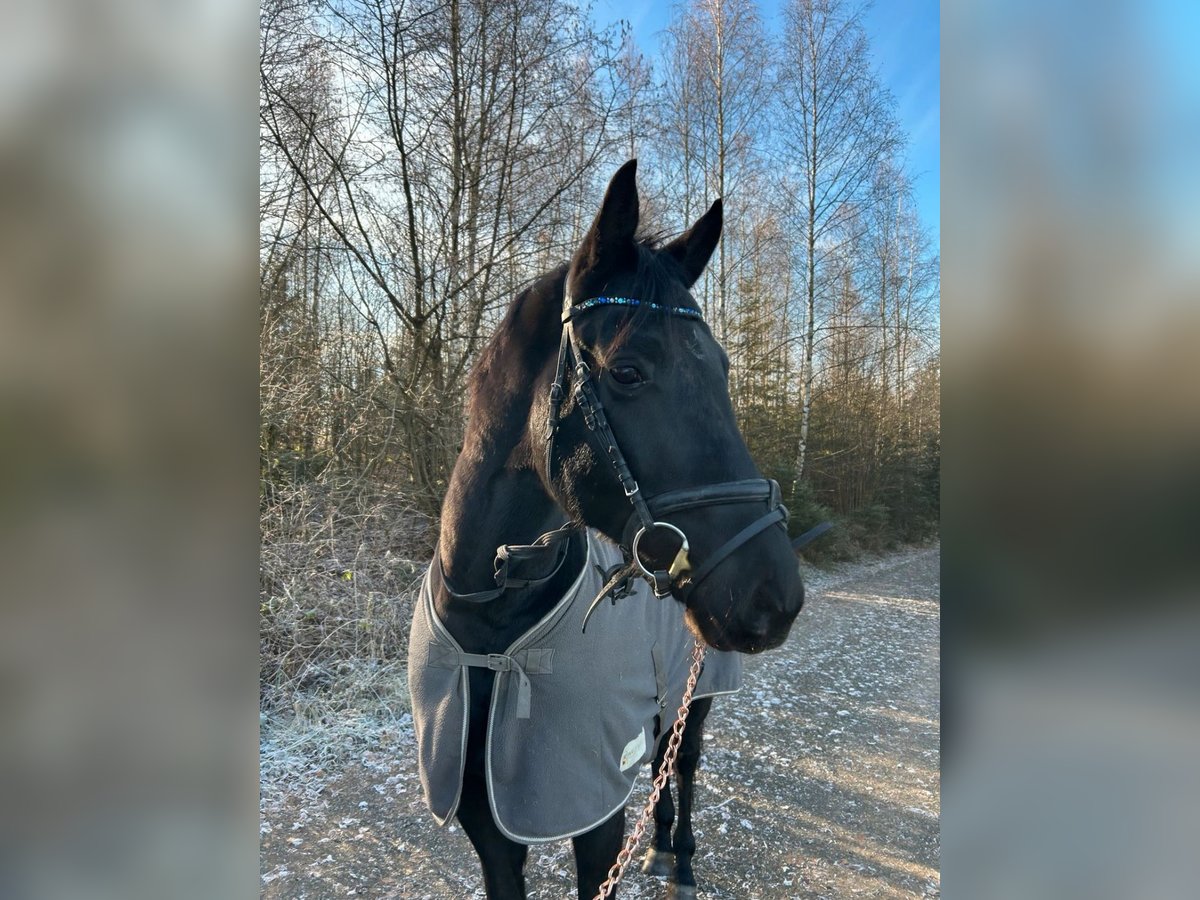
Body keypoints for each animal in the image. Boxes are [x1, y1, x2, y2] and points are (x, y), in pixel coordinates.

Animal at [408, 160, 805, 899]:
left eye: (723, 370)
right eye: (627, 371)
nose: (774, 596)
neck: (493, 625)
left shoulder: (594, 819)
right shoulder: (489, 827)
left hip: (695, 691)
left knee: (683, 762)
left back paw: (680, 855)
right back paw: (660, 846)